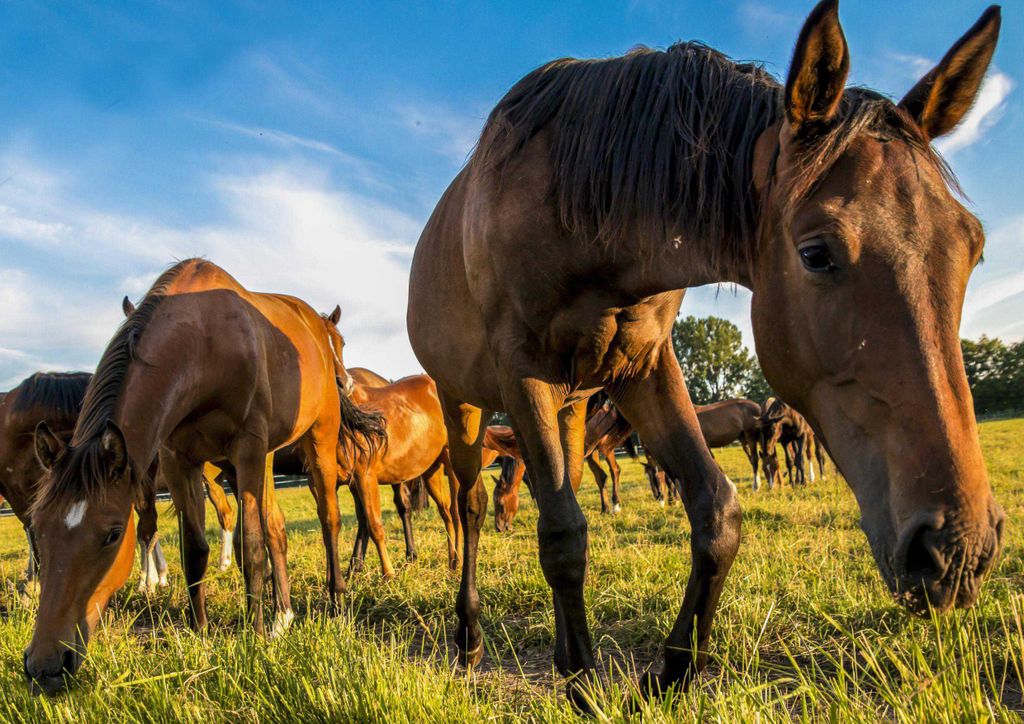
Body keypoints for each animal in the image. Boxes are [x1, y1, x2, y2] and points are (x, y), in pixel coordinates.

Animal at [25, 259, 381, 694]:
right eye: (38, 528)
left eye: (111, 535)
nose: (44, 665)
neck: (203, 344)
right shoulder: (178, 460)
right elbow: (195, 551)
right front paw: (201, 632)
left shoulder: (246, 448)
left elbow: (251, 545)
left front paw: (254, 638)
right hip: (260, 461)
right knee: (277, 528)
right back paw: (283, 617)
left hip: (318, 440)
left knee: (328, 518)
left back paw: (336, 601)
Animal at [407, 2, 1004, 704]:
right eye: (816, 253)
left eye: (973, 248)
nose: (957, 550)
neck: (575, 206)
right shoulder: (521, 372)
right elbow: (561, 535)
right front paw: (582, 682)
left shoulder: (644, 367)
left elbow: (716, 513)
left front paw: (670, 670)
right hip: (465, 402)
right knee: (472, 505)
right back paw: (470, 637)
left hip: (572, 404)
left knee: (566, 485)